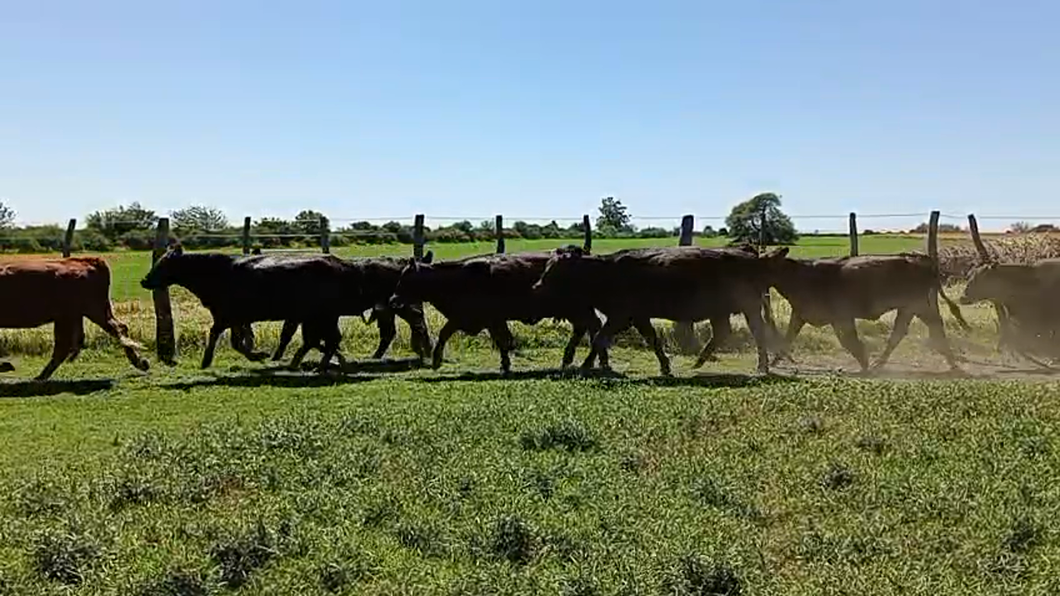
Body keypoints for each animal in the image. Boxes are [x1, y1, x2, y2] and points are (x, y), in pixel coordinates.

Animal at [140, 246, 360, 370]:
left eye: (163, 264)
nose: (144, 280)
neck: (214, 273)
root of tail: (341, 264)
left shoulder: (224, 316)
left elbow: (222, 337)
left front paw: (207, 361)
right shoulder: (235, 318)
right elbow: (237, 342)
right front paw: (258, 355)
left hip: (324, 316)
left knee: (329, 339)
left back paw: (320, 364)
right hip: (322, 317)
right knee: (327, 340)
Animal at [389, 251, 608, 373]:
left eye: (406, 278)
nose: (392, 300)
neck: (458, 278)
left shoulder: (485, 318)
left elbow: (446, 333)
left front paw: (436, 360)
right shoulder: (479, 319)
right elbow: (500, 341)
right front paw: (505, 364)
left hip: (578, 309)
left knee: (592, 326)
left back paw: (591, 362)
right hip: (577, 310)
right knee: (587, 328)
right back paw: (582, 361)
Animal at [531, 245, 782, 376]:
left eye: (554, 269)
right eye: (547, 266)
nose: (536, 287)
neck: (605, 273)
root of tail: (750, 255)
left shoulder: (621, 315)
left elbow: (599, 338)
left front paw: (585, 365)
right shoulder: (639, 317)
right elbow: (652, 339)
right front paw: (665, 366)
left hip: (750, 307)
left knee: (758, 333)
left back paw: (762, 366)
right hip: (719, 311)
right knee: (722, 332)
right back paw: (698, 362)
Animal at [768, 252, 970, 371]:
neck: (801, 275)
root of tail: (918, 258)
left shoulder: (840, 316)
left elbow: (849, 340)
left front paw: (863, 363)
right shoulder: (800, 314)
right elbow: (788, 337)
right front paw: (774, 362)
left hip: (916, 304)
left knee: (928, 327)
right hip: (910, 307)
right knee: (904, 331)